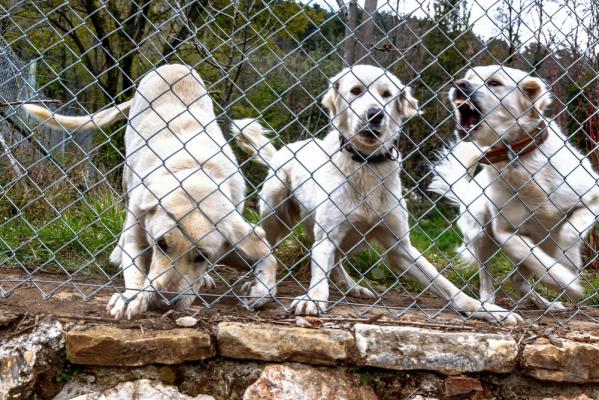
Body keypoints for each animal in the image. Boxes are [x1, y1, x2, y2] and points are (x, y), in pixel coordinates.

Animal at [23, 63, 276, 318]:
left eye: (202, 256)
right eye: (161, 244)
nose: (164, 301)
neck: (195, 172)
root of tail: (173, 65)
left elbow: (269, 261)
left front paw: (257, 290)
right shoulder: (137, 233)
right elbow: (135, 271)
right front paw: (131, 298)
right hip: (127, 173)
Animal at [234, 64, 520, 324]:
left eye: (386, 94)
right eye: (356, 91)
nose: (375, 114)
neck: (366, 165)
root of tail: (283, 151)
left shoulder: (400, 248)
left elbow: (445, 284)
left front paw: (485, 309)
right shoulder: (326, 237)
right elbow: (319, 273)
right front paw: (313, 298)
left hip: (353, 238)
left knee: (336, 262)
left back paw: (352, 287)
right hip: (275, 215)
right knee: (271, 250)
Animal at [434, 65, 596, 310]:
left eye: (494, 83)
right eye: (469, 77)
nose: (459, 83)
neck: (517, 158)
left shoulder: (592, 199)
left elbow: (569, 231)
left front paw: (569, 262)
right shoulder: (504, 231)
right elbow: (531, 255)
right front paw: (564, 279)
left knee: (518, 278)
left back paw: (545, 304)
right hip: (481, 231)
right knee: (489, 276)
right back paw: (489, 303)